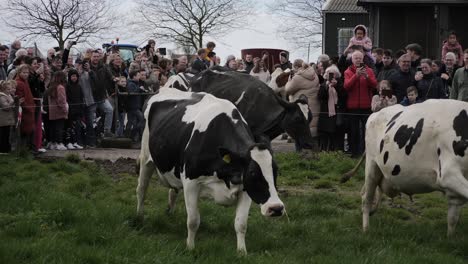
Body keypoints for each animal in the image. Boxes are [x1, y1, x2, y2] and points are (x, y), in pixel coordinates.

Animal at [135, 88, 286, 254]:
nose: (276, 208)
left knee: (172, 191)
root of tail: (163, 89)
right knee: (141, 189)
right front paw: (190, 247)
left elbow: (241, 223)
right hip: (146, 157)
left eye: (276, 171)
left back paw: (170, 213)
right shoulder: (191, 183)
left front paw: (242, 252)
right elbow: (193, 220)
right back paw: (140, 217)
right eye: (253, 173)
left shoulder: (245, 188)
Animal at [358, 99, 468, 235]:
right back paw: (366, 229)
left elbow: (452, 219)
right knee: (366, 198)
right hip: (372, 165)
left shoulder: (455, 192)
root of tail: (375, 113)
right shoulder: (448, 174)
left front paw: (450, 238)